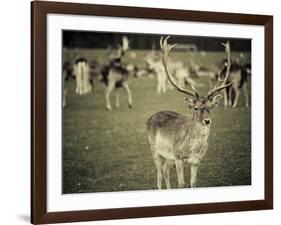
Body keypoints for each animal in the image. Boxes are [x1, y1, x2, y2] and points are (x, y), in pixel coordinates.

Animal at [145, 36, 231, 188]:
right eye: (196, 108)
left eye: (211, 106)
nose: (207, 120)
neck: (193, 150)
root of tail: (149, 118)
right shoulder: (178, 157)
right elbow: (181, 184)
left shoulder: (196, 161)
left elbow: (193, 183)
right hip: (155, 150)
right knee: (159, 174)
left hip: (168, 156)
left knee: (166, 171)